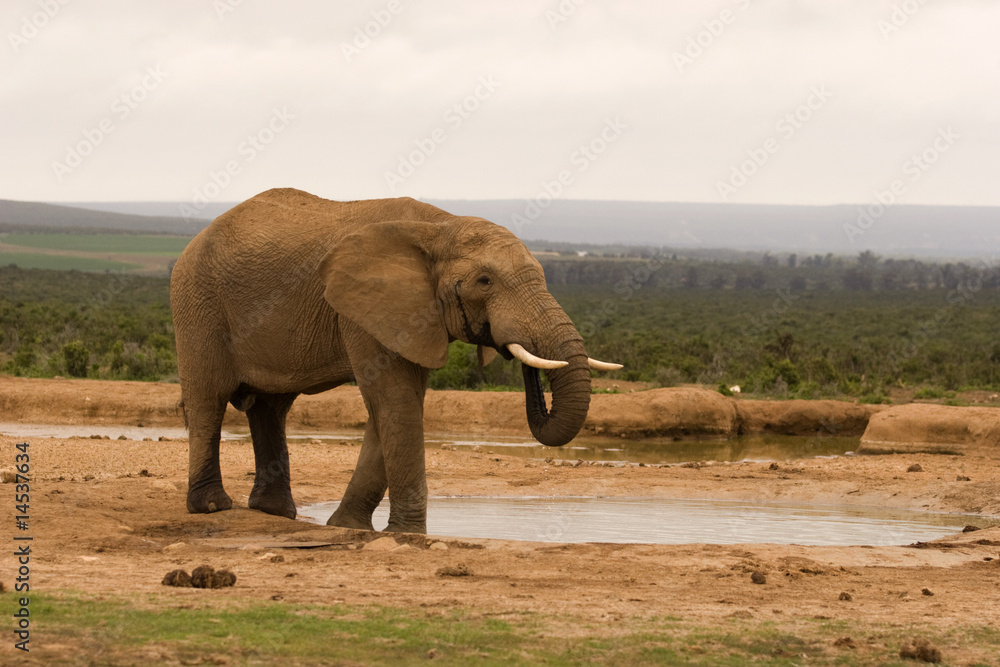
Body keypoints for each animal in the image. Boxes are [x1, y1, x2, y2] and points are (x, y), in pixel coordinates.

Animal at [170, 188, 620, 533]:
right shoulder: (364, 308)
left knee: (270, 408)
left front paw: (349, 527)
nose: (519, 355)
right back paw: (211, 507)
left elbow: (394, 407)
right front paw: (408, 535)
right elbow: (395, 400)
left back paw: (275, 513)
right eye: (484, 281)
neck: (440, 226)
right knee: (209, 398)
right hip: (197, 299)